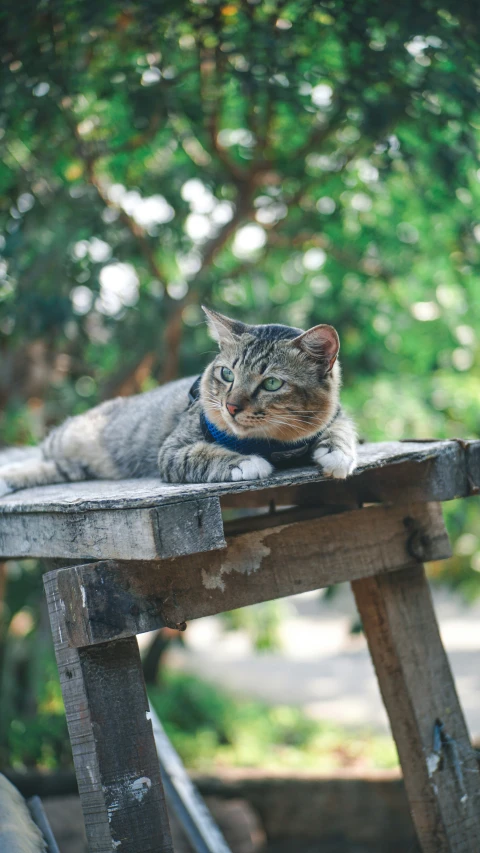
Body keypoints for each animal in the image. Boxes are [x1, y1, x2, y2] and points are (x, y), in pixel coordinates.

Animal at [0, 306, 356, 492]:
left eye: (271, 383)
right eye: (227, 374)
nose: (231, 406)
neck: (270, 443)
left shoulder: (338, 415)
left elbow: (343, 429)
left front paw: (337, 453)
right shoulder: (172, 450)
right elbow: (204, 454)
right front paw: (245, 462)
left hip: (77, 466)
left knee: (52, 468)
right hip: (68, 440)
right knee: (37, 458)